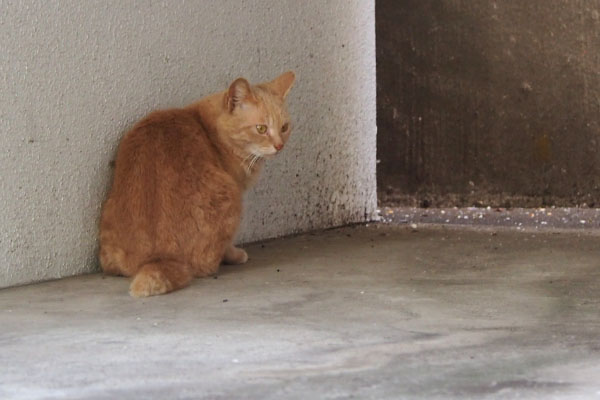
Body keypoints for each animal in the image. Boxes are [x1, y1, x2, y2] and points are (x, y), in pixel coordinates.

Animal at [98, 71, 296, 296]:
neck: (211, 131)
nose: (279, 145)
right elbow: (227, 245)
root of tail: (157, 259)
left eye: (284, 127)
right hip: (231, 196)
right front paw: (235, 254)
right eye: (261, 129)